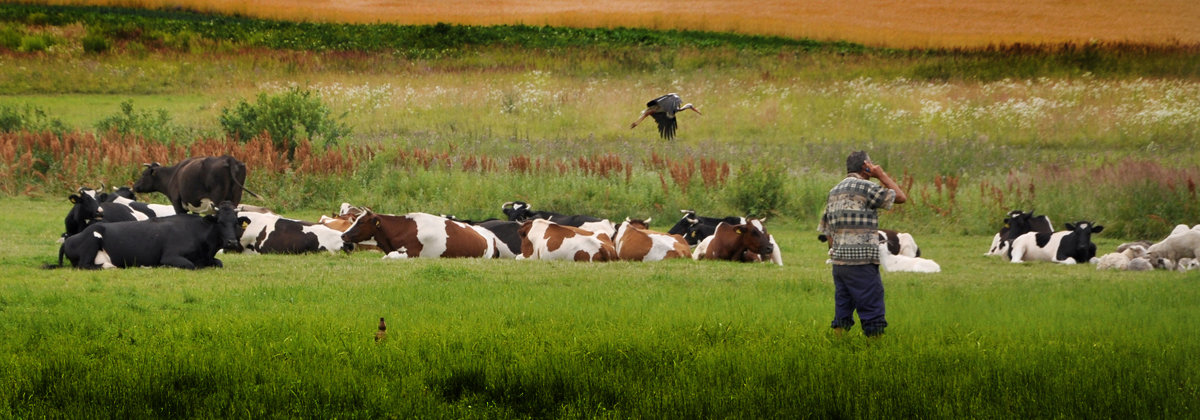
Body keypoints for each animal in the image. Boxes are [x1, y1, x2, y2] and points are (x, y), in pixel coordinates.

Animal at [59, 200, 248, 268]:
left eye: (235, 223)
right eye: (219, 222)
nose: (231, 242)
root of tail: (70, 238)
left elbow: (219, 263)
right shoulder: (171, 256)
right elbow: (190, 265)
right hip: (92, 240)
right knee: (85, 265)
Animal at [132, 154, 261, 216]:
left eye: (143, 174)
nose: (134, 186)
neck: (172, 174)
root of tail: (229, 158)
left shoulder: (177, 202)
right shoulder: (194, 206)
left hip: (218, 199)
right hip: (236, 196)